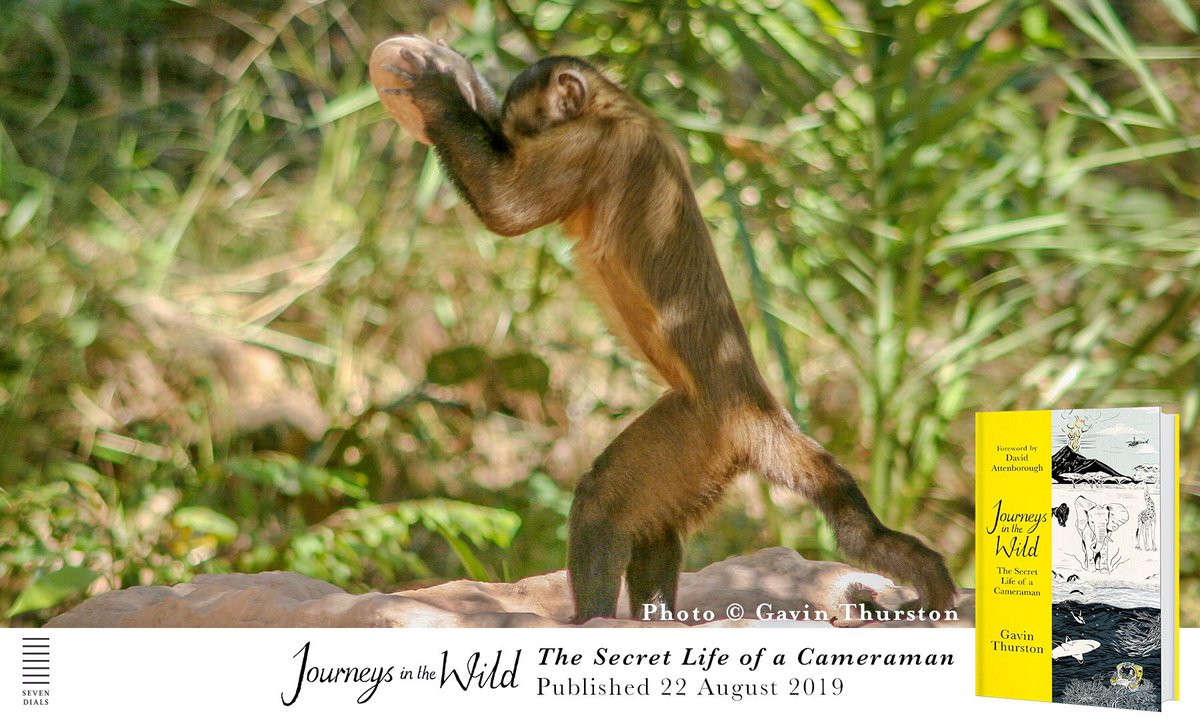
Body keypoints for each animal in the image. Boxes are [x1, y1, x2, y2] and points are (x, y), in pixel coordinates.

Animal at [369, 35, 957, 621]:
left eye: (526, 129)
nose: (514, 136)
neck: (621, 109)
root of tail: (758, 405)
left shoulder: (591, 144)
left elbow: (505, 209)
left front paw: (435, 87)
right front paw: (461, 73)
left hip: (700, 427)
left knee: (601, 504)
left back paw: (592, 620)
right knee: (651, 522)